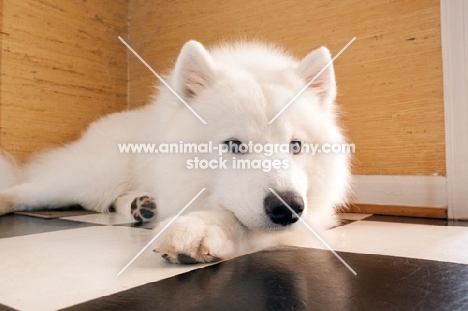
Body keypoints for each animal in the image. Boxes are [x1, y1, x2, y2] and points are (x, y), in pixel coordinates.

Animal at [0, 41, 352, 264]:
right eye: (234, 145)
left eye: (296, 146)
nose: (288, 208)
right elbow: (236, 217)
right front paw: (199, 227)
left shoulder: (314, 214)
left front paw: (201, 228)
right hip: (93, 177)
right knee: (29, 189)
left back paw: (143, 206)